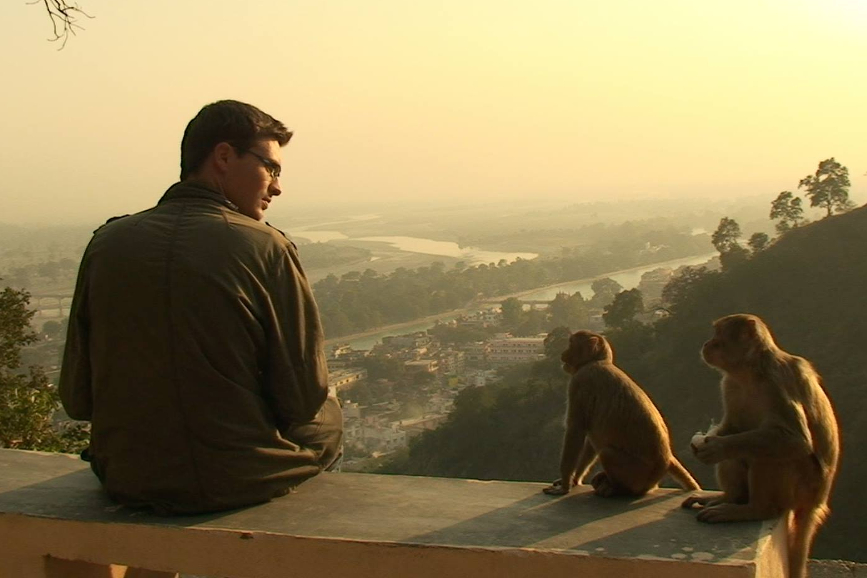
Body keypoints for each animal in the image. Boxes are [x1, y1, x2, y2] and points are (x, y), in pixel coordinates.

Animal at [544, 330, 700, 498]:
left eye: (571, 345)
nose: (563, 354)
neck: (597, 361)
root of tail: (667, 459)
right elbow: (590, 438)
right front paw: (574, 479)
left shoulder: (580, 381)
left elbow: (576, 430)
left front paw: (565, 486)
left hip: (637, 473)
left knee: (606, 453)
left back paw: (617, 488)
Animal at [684, 312, 840, 576]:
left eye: (718, 335)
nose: (707, 343)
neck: (750, 371)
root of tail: (815, 503)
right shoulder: (730, 384)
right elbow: (733, 428)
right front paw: (705, 446)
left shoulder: (775, 380)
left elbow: (795, 440)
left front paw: (715, 447)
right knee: (743, 449)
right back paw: (731, 497)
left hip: (803, 485)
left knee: (769, 455)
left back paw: (755, 509)